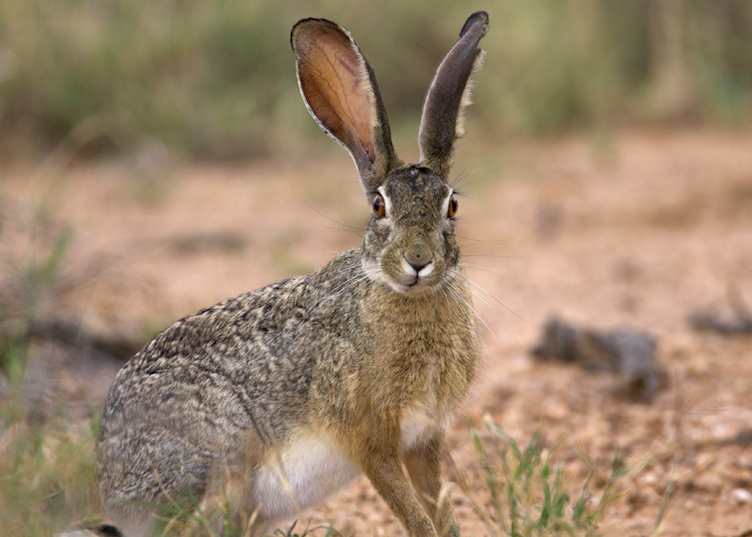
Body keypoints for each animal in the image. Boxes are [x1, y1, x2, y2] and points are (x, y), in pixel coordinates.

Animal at [97, 10, 489, 537]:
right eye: (379, 206)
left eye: (452, 205)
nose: (419, 260)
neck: (402, 296)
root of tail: (110, 479)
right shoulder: (371, 441)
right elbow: (414, 515)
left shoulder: (423, 439)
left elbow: (440, 509)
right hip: (219, 461)